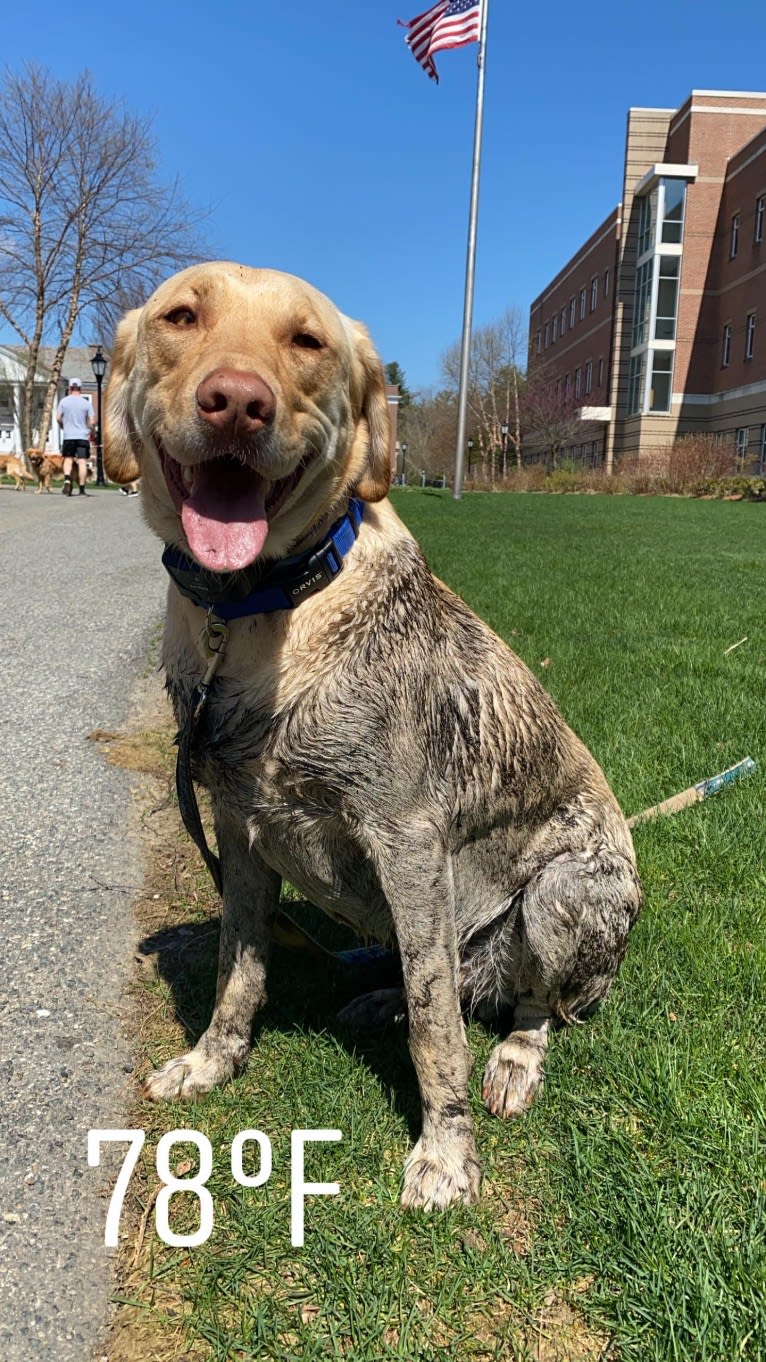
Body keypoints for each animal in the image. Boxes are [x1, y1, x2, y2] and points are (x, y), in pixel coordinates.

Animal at [101, 260, 637, 1209]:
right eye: (181, 317)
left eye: (307, 341)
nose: (236, 402)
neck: (255, 613)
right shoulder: (240, 826)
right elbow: (239, 970)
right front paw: (211, 1062)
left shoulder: (409, 840)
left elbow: (436, 1028)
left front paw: (446, 1154)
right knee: (441, 975)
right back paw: (376, 994)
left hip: (564, 893)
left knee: (523, 1003)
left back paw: (513, 1058)